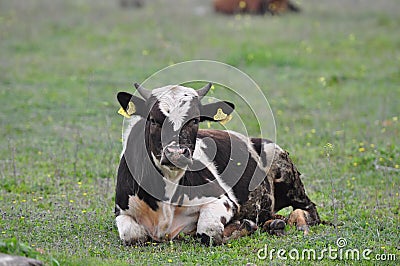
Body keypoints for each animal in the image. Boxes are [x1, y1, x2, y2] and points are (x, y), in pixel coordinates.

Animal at [114, 83, 320, 245]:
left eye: (195, 120)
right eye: (153, 119)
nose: (176, 153)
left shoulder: (223, 201)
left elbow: (209, 232)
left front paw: (242, 226)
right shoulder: (121, 210)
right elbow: (132, 235)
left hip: (284, 169)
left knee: (309, 210)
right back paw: (274, 224)